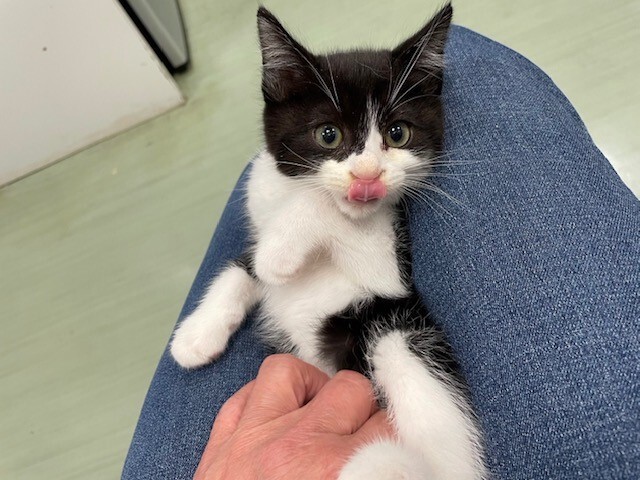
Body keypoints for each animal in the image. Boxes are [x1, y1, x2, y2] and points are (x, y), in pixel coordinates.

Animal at [171, 3, 487, 479]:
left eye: (398, 133)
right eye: (328, 134)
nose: (366, 177)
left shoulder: (392, 271)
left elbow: (319, 211)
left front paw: (279, 254)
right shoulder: (258, 199)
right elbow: (243, 266)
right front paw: (195, 335)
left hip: (395, 331)